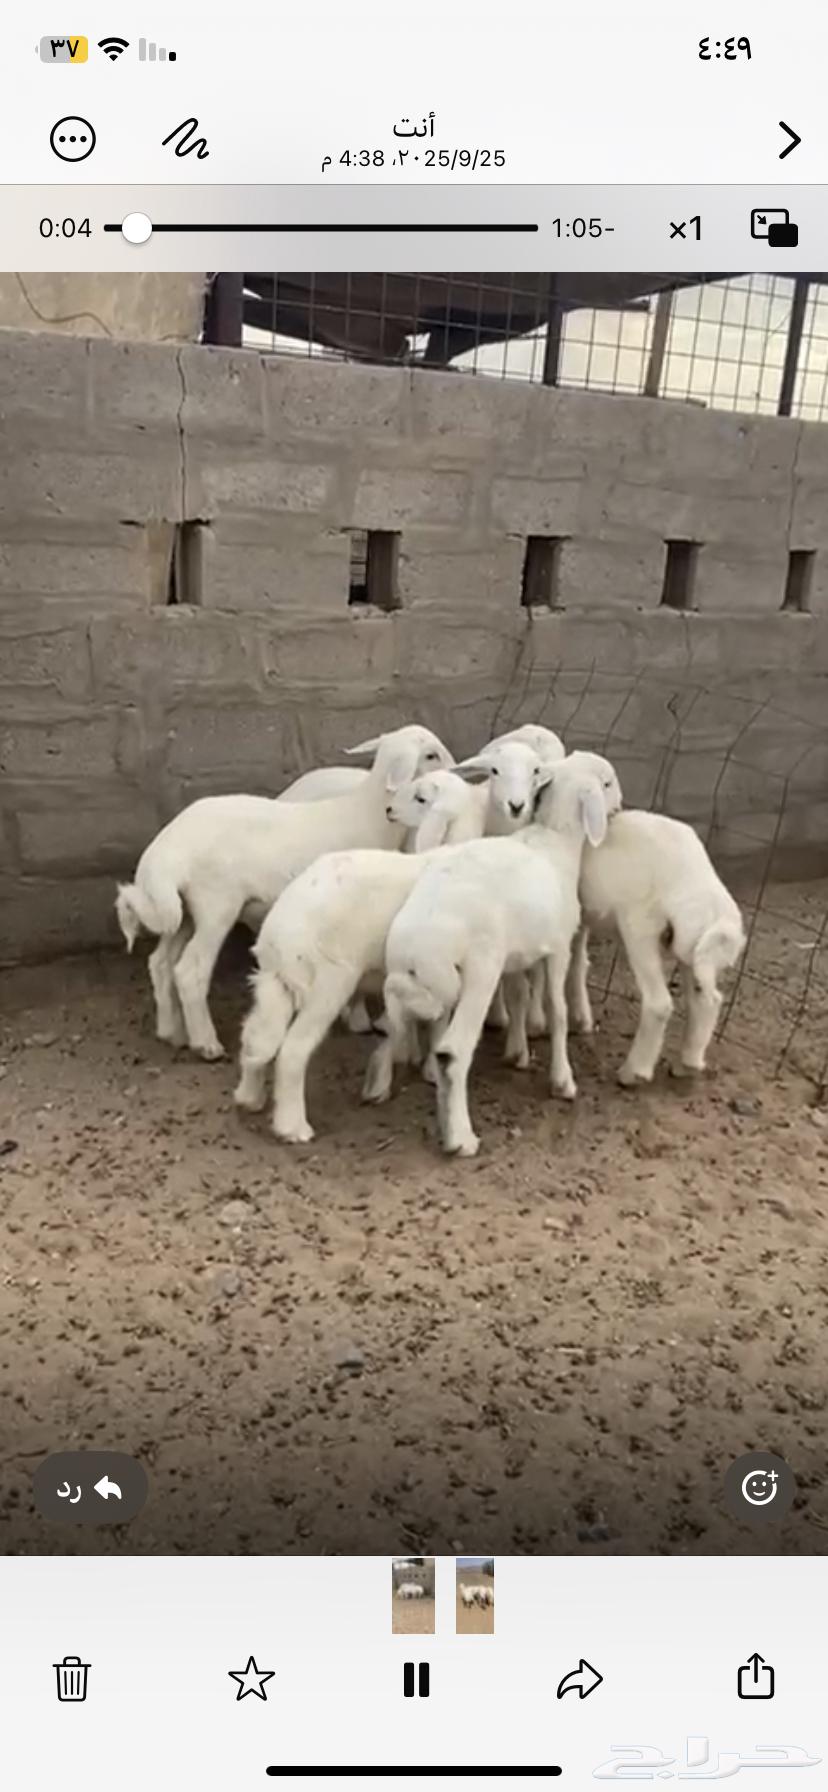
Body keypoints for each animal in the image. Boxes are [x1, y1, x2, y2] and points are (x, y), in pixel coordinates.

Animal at [115, 724, 452, 1062]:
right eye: (431, 755)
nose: (455, 774)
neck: (367, 815)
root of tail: (166, 849)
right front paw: (358, 1018)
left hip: (182, 910)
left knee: (160, 962)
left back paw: (171, 1032)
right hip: (216, 904)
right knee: (189, 970)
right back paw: (206, 1043)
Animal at [376, 751, 622, 1156]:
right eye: (606, 783)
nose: (618, 808)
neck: (556, 840)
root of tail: (416, 943)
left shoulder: (517, 957)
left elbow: (520, 997)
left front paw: (518, 1052)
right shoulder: (557, 949)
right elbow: (557, 1011)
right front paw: (563, 1080)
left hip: (434, 980)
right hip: (479, 972)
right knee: (452, 1052)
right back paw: (460, 1138)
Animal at [570, 809, 746, 1085]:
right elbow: (577, 959)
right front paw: (580, 1018)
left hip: (640, 929)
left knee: (659, 1003)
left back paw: (633, 1072)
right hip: (691, 946)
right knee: (707, 999)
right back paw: (688, 1063)